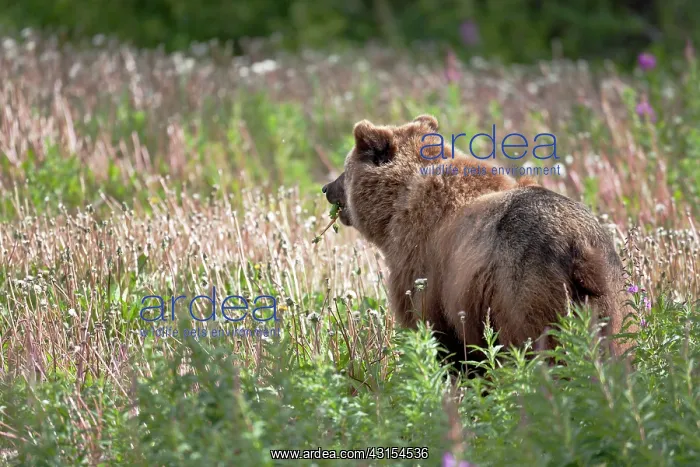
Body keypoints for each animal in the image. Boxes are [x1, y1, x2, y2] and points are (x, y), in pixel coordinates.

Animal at [322, 115, 635, 373]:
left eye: (345, 168)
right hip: (611, 295)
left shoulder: (424, 273)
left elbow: (439, 340)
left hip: (526, 290)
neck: (399, 206)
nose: (326, 188)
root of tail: (579, 247)